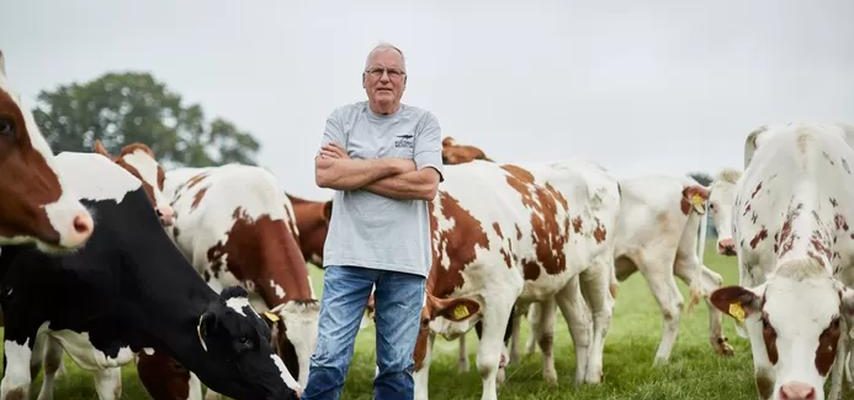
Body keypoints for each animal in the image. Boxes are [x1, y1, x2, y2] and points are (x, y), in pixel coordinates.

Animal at [412, 159, 620, 400]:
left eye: (422, 321)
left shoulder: (500, 294)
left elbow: (487, 362)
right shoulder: (437, 304)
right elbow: (422, 365)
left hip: (598, 263)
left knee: (602, 314)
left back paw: (593, 376)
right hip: (566, 275)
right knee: (579, 324)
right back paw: (579, 381)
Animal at [708, 122, 854, 400]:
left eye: (830, 325)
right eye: (768, 323)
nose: (797, 392)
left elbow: (842, 349)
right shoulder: (752, 281)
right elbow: (765, 376)